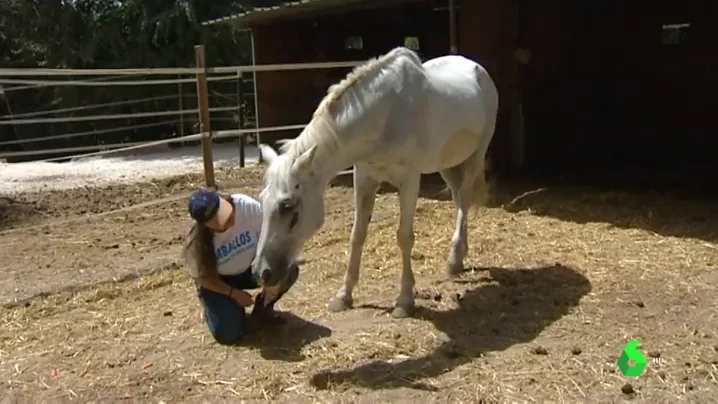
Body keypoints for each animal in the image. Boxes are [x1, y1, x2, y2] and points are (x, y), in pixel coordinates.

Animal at [255, 48, 500, 318]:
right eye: (262, 201)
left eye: (288, 207)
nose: (262, 273)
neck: (383, 117)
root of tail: (475, 68)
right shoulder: (364, 177)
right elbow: (357, 235)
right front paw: (343, 296)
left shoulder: (409, 181)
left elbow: (404, 237)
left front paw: (404, 301)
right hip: (445, 163)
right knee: (458, 199)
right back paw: (458, 258)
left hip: (476, 156)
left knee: (464, 200)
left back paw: (455, 259)